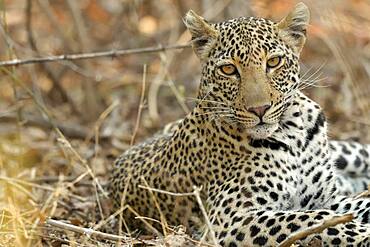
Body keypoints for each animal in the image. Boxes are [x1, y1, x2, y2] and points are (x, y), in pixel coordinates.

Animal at [109, 2, 370, 246]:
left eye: (274, 62)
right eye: (228, 69)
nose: (260, 109)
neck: (291, 131)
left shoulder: (326, 197)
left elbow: (352, 206)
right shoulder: (232, 219)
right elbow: (313, 219)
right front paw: (363, 234)